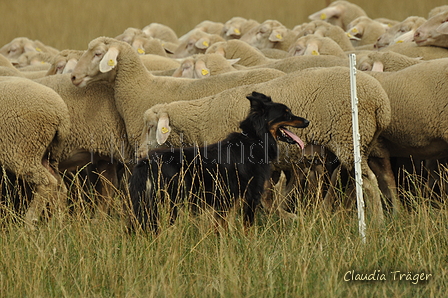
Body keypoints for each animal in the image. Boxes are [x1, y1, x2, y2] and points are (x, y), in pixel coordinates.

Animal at [0, 75, 70, 227]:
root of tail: (61, 113)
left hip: (22, 149)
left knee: (47, 183)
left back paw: (30, 222)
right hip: (47, 152)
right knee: (59, 185)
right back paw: (58, 223)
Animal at [127, 92, 308, 232]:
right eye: (286, 114)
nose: (307, 122)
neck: (253, 140)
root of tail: (146, 161)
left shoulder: (227, 201)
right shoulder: (250, 195)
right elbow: (247, 228)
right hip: (169, 201)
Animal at [138, 65, 390, 224]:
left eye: (150, 127)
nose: (139, 153)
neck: (201, 121)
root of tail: (380, 102)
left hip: (348, 138)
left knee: (368, 181)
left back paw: (377, 220)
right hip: (349, 147)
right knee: (347, 183)